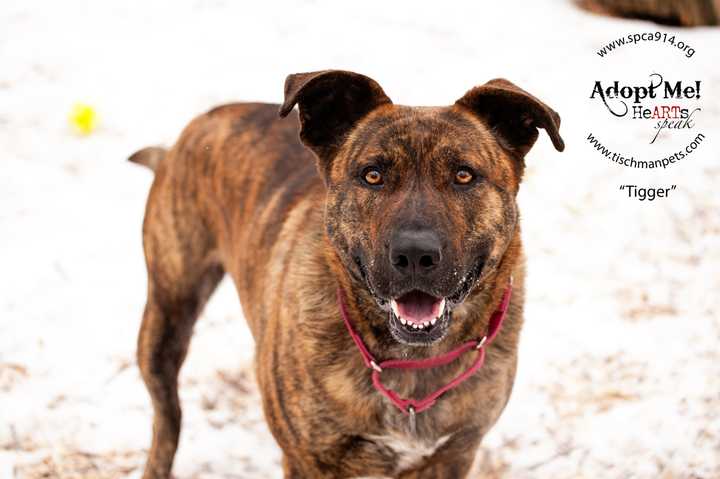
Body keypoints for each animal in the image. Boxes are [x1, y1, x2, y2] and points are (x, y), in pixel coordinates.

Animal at [132, 69, 564, 478]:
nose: (414, 254)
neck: (411, 364)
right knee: (167, 421)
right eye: (372, 175)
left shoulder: (454, 455)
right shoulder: (309, 461)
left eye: (464, 175)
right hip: (165, 322)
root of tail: (204, 120)